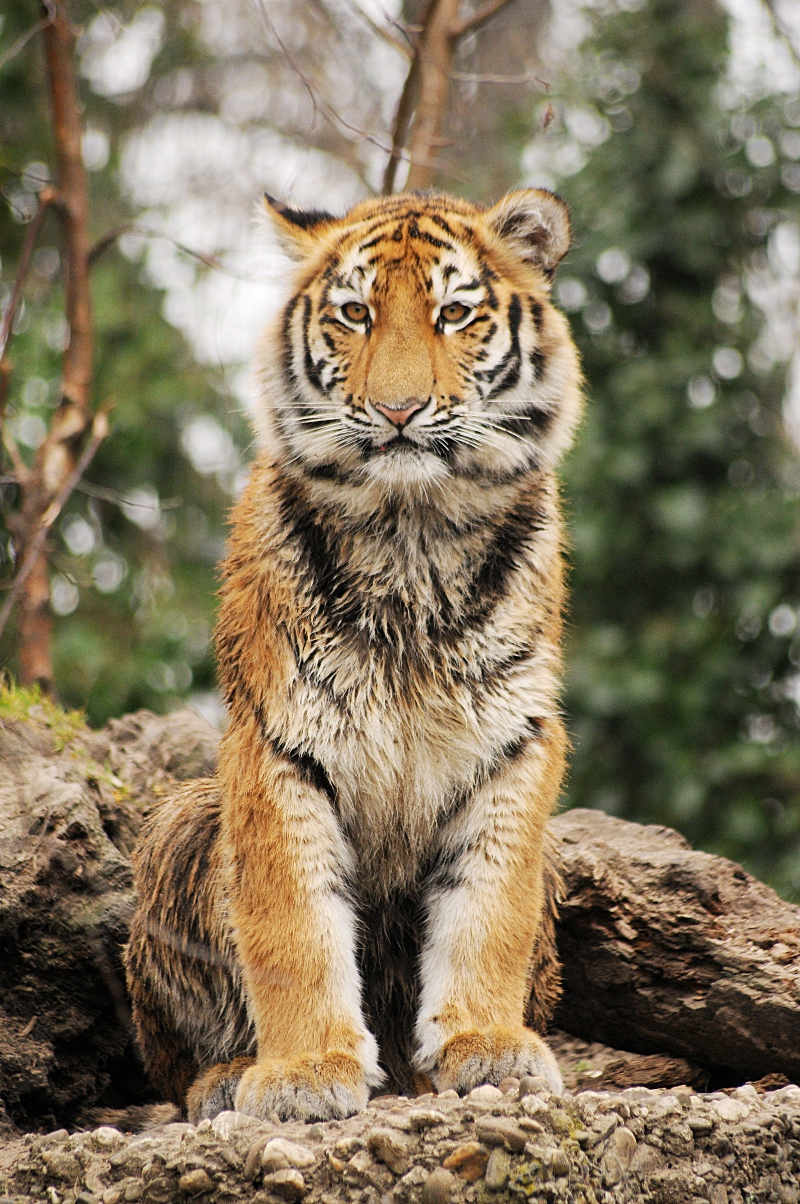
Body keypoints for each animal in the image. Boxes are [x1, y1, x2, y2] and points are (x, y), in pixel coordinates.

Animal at [124, 187, 584, 1123]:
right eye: (356, 314)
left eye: (454, 314)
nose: (400, 411)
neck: (413, 536)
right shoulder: (274, 743)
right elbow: (291, 925)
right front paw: (304, 1070)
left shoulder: (514, 737)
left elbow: (489, 909)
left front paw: (488, 1046)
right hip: (180, 815)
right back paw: (226, 1079)